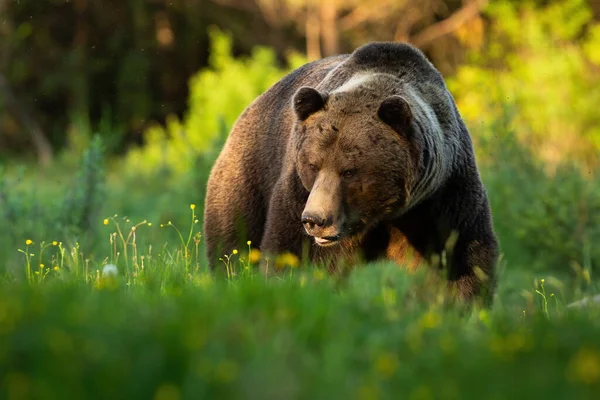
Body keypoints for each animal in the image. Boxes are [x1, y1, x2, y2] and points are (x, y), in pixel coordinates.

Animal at [204, 41, 500, 304]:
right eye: (313, 165)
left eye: (348, 171)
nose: (315, 220)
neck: (384, 214)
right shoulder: (298, 193)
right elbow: (295, 253)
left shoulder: (442, 197)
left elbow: (460, 259)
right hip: (249, 175)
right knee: (233, 241)